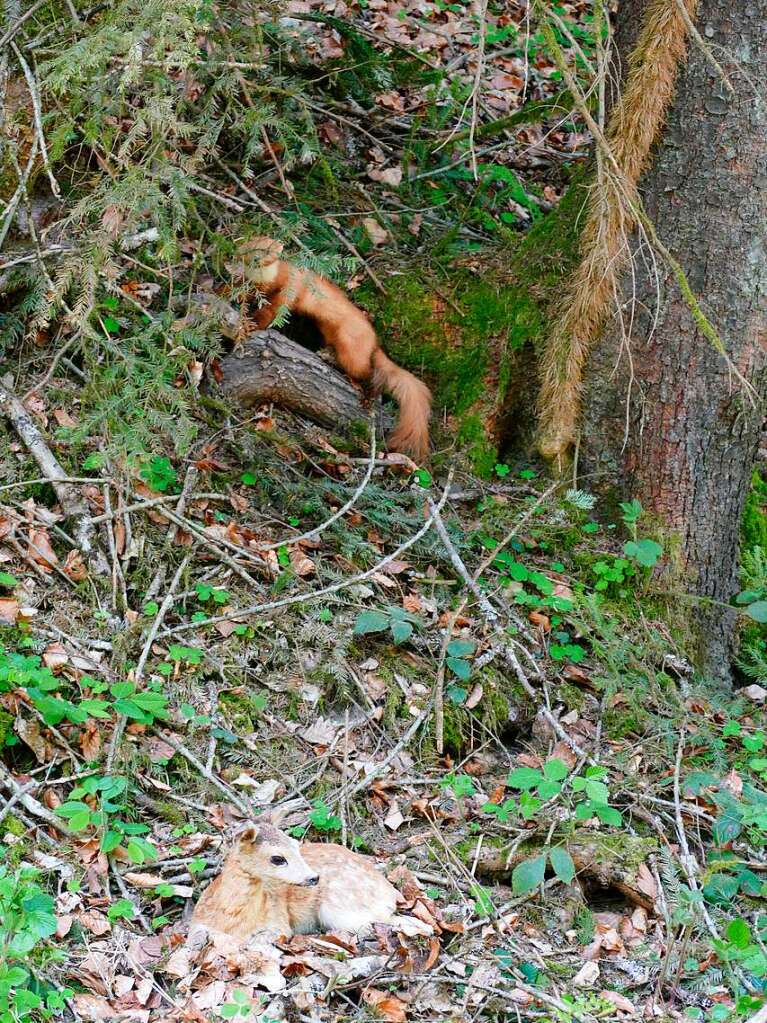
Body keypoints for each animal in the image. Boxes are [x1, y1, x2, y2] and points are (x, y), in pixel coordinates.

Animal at [228, 235, 433, 460]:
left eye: (266, 250)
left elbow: (270, 314)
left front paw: (251, 325)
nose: (254, 258)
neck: (265, 279)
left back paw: (367, 397)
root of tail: (374, 342)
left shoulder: (286, 291)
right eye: (249, 246)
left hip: (352, 350)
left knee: (369, 374)